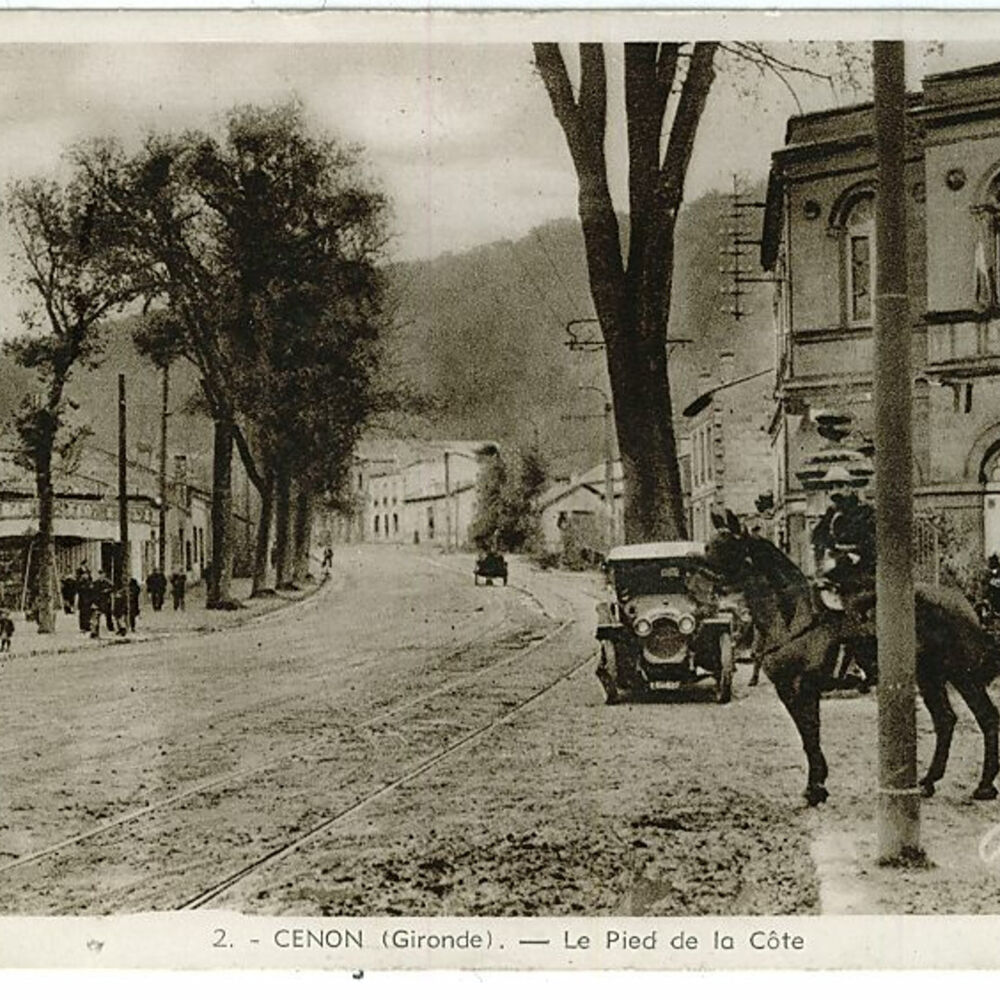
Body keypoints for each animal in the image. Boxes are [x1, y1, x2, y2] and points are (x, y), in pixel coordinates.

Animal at [704, 512, 1000, 808]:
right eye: (710, 545)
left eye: (726, 546)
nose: (706, 589)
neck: (792, 615)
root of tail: (964, 605)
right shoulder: (786, 689)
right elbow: (806, 735)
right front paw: (817, 784)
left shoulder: (804, 687)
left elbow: (811, 734)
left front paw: (816, 787)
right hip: (930, 677)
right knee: (946, 720)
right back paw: (928, 781)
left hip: (963, 675)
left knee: (987, 718)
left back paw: (984, 786)